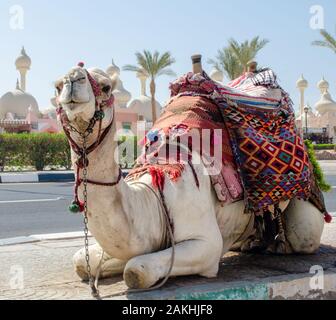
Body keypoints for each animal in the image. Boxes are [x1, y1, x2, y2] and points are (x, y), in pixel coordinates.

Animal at [55, 59, 326, 290]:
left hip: (304, 207)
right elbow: (82, 262)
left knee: (304, 235)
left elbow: (136, 270)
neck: (154, 194)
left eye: (106, 86)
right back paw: (254, 242)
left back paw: (278, 245)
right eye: (56, 86)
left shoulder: (206, 243)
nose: (71, 79)